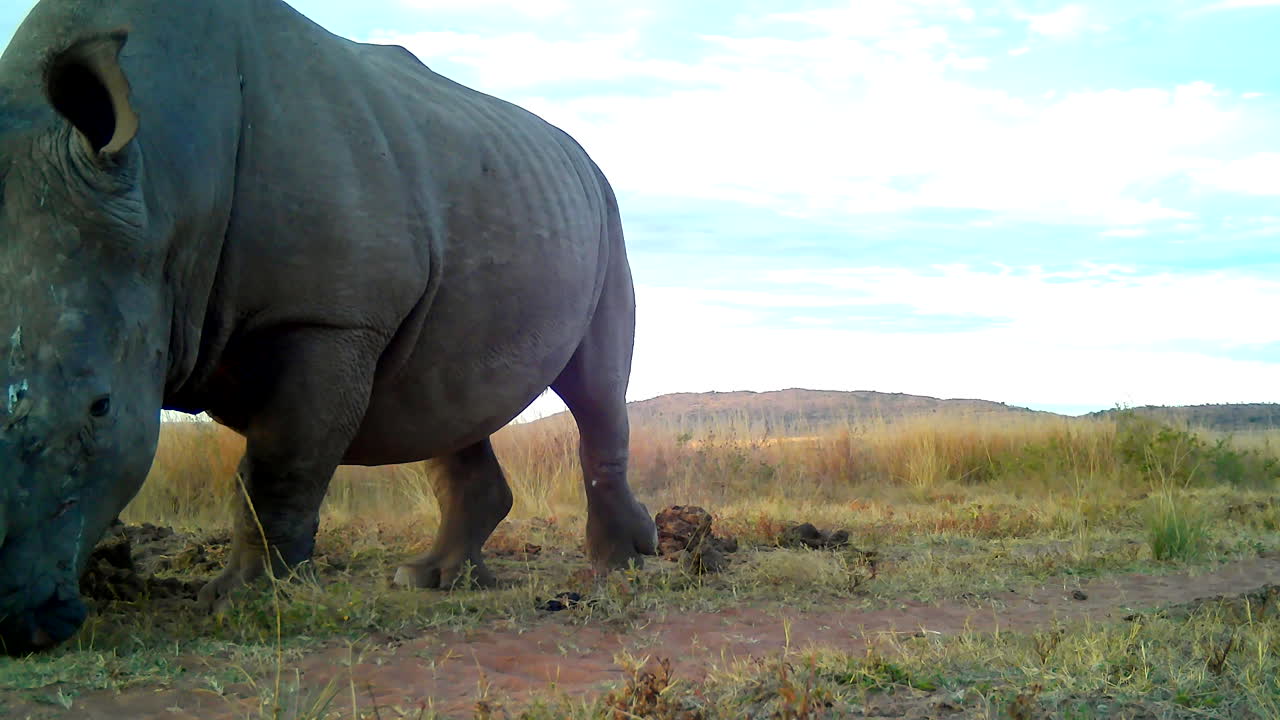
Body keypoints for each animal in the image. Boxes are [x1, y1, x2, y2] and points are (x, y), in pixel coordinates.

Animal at [0, 0, 658, 655]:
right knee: (447, 401)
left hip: (607, 216)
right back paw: (432, 580)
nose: (18, 625)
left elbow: (279, 467)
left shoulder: (328, 319)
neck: (166, 181)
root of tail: (583, 158)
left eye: (101, 406)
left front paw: (244, 602)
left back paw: (617, 567)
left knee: (594, 391)